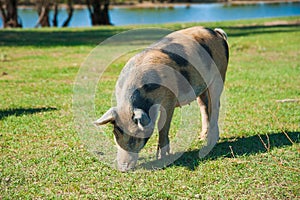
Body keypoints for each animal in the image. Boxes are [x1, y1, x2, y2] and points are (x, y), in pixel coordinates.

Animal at [95, 26, 229, 172]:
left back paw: (210, 141)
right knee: (204, 106)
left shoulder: (169, 98)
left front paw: (161, 156)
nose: (122, 168)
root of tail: (216, 32)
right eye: (116, 133)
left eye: (134, 136)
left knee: (215, 105)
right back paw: (201, 138)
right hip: (201, 87)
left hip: (219, 75)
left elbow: (162, 125)